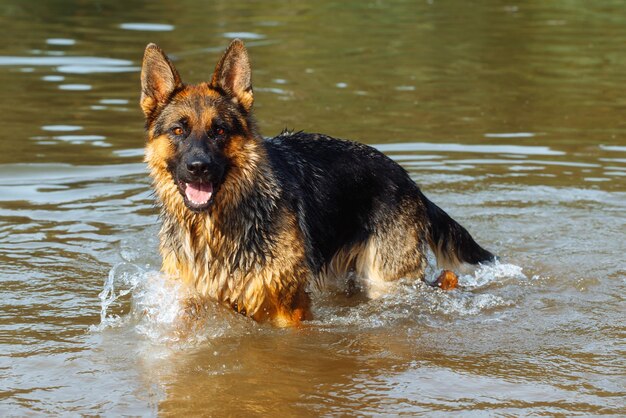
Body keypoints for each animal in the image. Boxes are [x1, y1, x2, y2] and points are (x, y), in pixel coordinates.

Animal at [140, 39, 492, 326]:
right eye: (178, 131)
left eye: (219, 131)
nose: (198, 168)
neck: (214, 228)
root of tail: (407, 179)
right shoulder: (194, 299)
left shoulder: (290, 309)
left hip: (387, 281)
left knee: (442, 279)